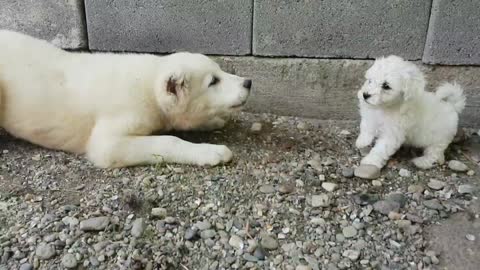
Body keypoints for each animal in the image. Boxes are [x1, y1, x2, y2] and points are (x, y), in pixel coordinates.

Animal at [0, 30, 253, 168]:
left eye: (219, 72)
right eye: (213, 81)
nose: (248, 82)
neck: (148, 84)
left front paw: (212, 121)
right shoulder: (108, 142)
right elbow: (168, 140)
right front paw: (212, 152)